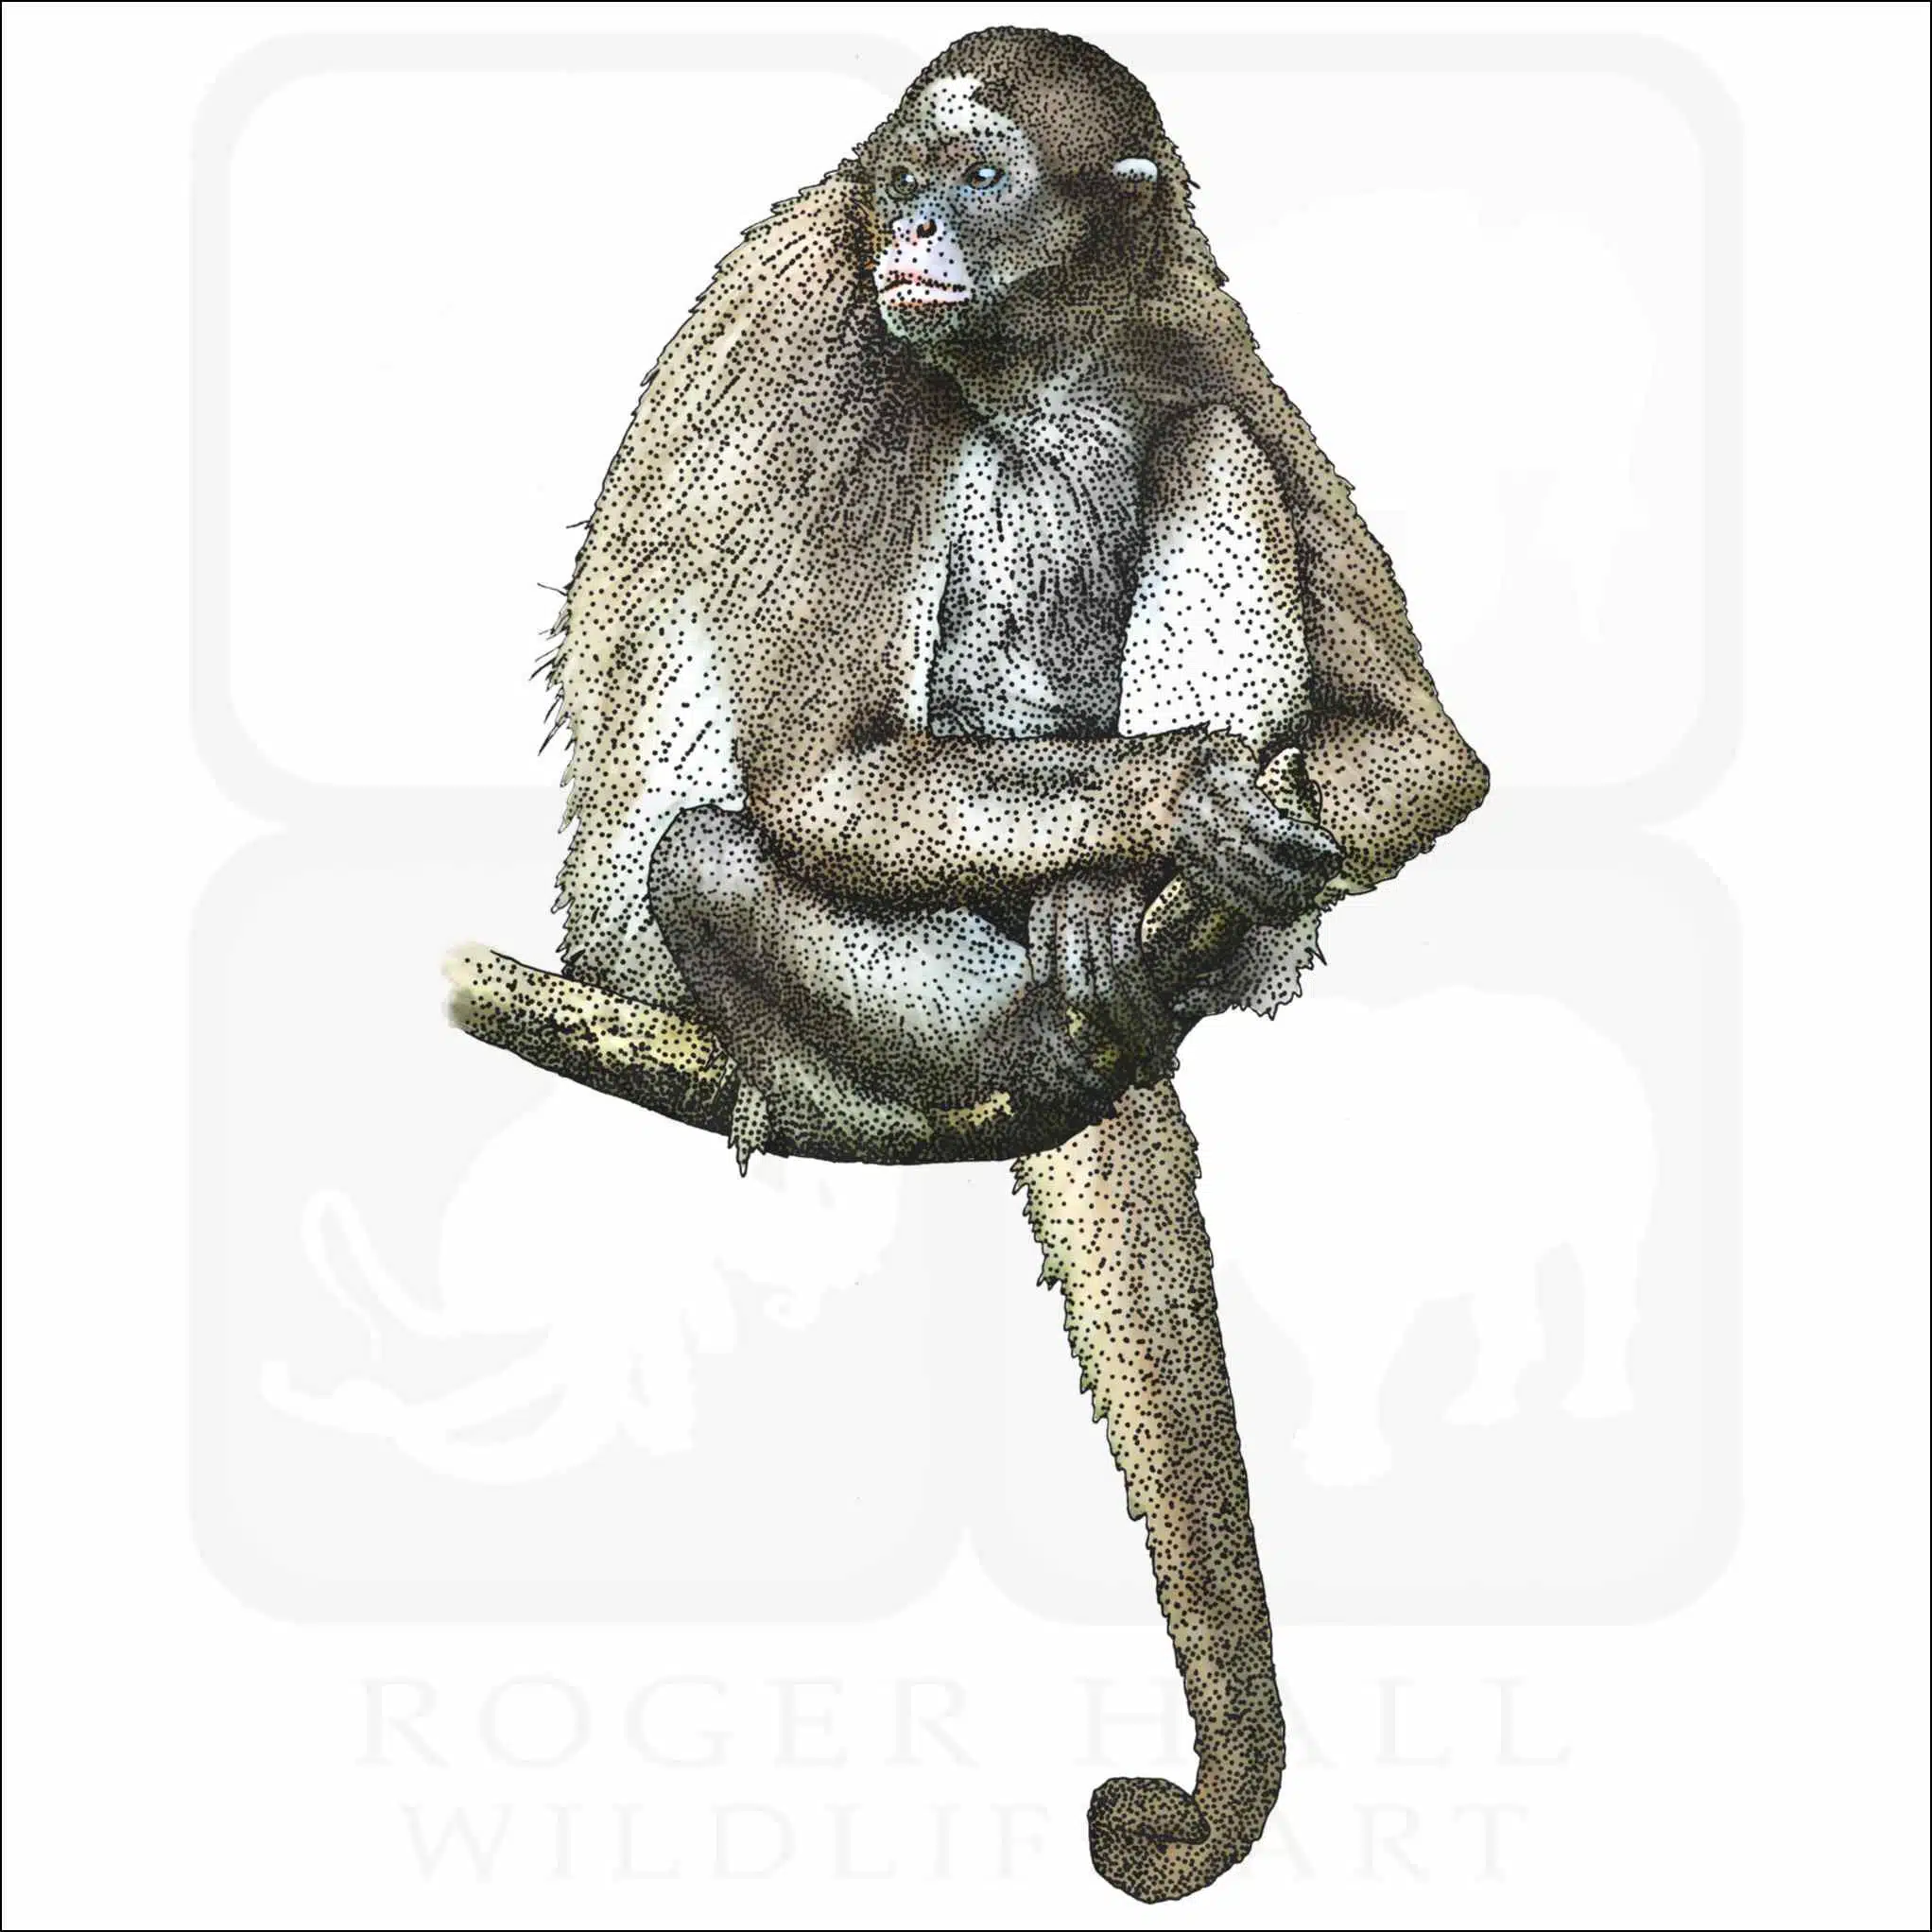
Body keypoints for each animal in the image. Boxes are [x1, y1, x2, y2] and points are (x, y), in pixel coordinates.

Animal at [524, 27, 1488, 1904]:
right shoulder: (847, 341)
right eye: (907, 177)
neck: (1028, 354)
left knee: (1207, 450)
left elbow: (1421, 751)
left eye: (978, 180)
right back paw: (1050, 1013)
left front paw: (1167, 837)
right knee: (705, 860)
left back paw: (1123, 935)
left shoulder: (1186, 312)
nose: (912, 225)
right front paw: (1169, 803)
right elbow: (814, 787)